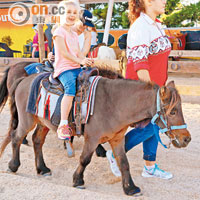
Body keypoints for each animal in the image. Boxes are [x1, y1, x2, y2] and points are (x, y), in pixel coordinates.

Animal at [0, 64, 191, 195]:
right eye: (173, 111)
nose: (187, 138)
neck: (114, 102)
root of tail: (23, 80)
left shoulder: (117, 139)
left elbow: (124, 163)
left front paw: (130, 187)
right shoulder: (92, 139)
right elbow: (85, 159)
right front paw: (78, 180)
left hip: (42, 122)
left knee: (37, 141)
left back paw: (42, 168)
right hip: (27, 120)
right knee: (16, 138)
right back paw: (13, 165)